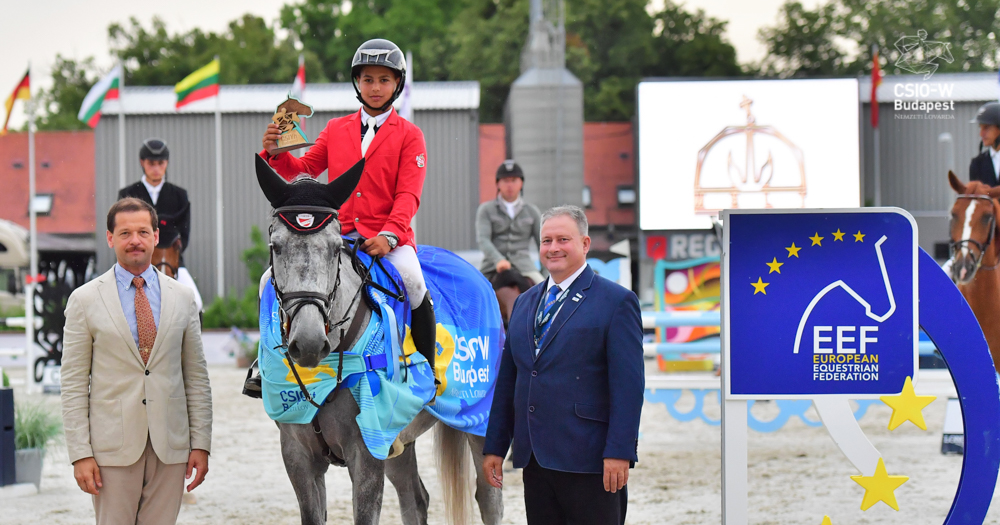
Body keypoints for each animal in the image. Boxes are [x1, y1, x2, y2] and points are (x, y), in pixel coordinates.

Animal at [254, 154, 504, 520]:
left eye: (334, 249)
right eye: (276, 247)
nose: (310, 343)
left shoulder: (367, 451)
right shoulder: (298, 456)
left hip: (479, 421)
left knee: (488, 497)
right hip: (398, 438)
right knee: (415, 499)